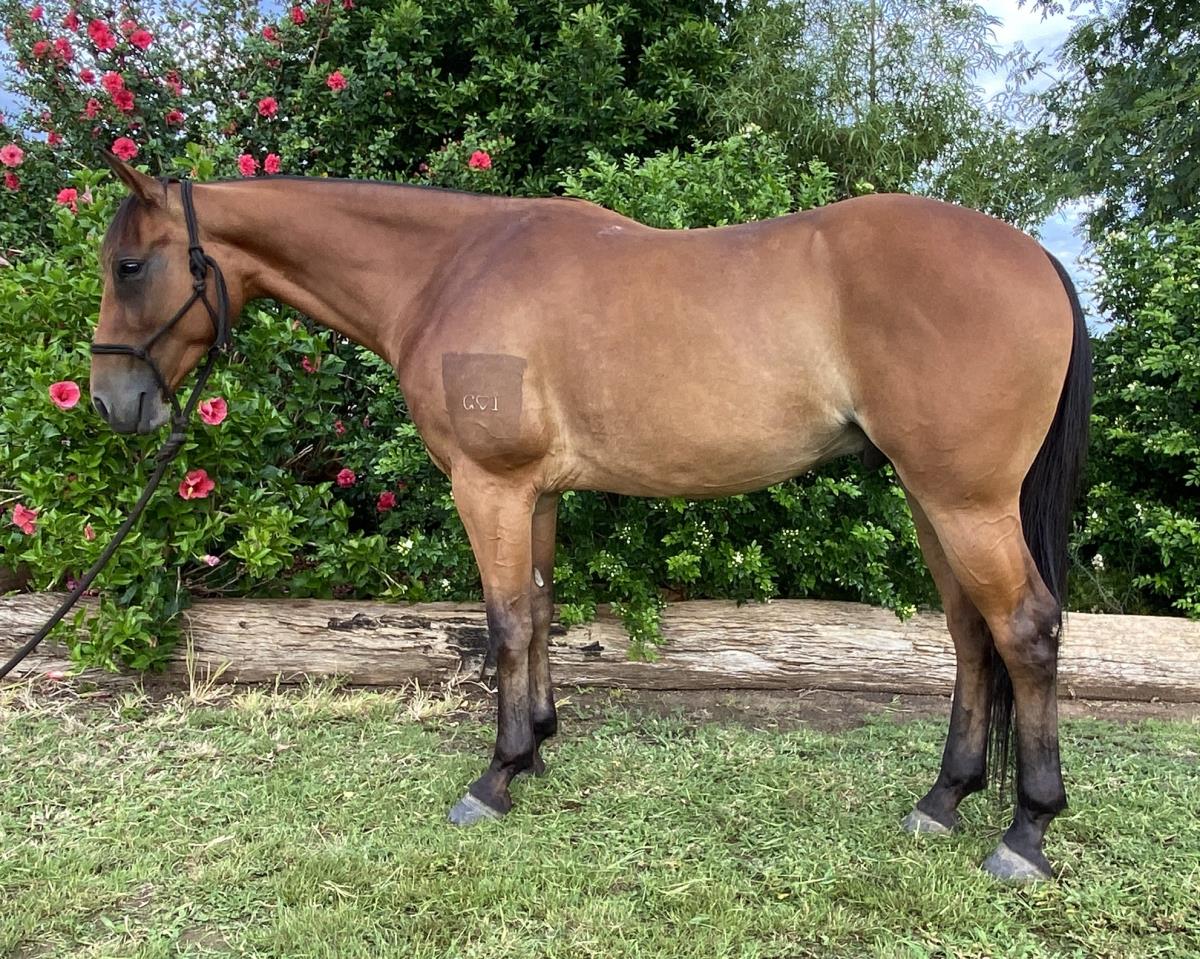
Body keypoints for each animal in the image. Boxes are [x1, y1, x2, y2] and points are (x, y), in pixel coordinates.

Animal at [90, 154, 1091, 882]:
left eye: (130, 266)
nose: (110, 401)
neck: (446, 270)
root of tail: (1037, 257)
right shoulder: (534, 492)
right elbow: (536, 614)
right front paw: (534, 749)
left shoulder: (488, 486)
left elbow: (501, 623)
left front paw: (494, 776)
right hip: (932, 499)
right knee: (970, 634)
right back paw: (943, 799)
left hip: (966, 502)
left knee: (1026, 630)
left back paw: (1025, 832)